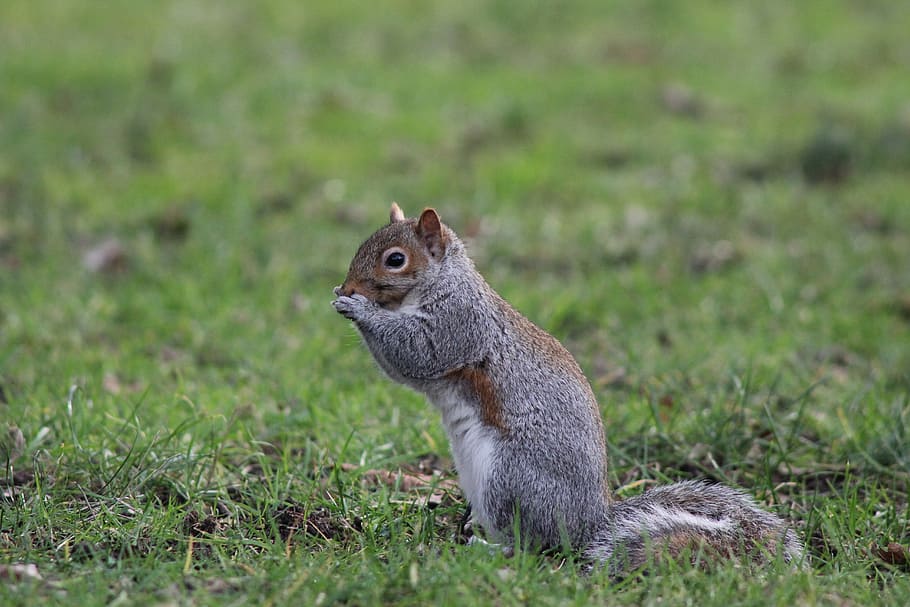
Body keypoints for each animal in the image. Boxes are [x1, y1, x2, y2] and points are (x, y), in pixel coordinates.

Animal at [332, 203, 804, 575]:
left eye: (395, 259)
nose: (349, 285)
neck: (440, 283)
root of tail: (592, 524)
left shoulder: (457, 325)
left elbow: (415, 353)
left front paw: (357, 308)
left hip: (509, 481)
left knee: (530, 544)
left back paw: (486, 548)